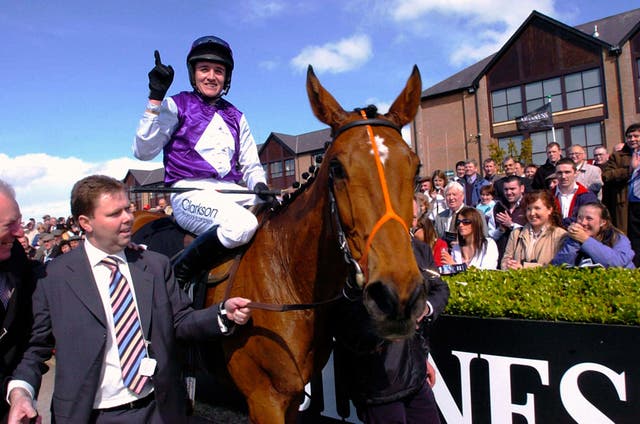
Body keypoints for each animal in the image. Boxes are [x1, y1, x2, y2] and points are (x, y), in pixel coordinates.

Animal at [136, 64, 424, 422]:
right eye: (337, 168)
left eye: (416, 166)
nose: (397, 295)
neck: (287, 277)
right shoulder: (264, 399)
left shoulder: (293, 397)